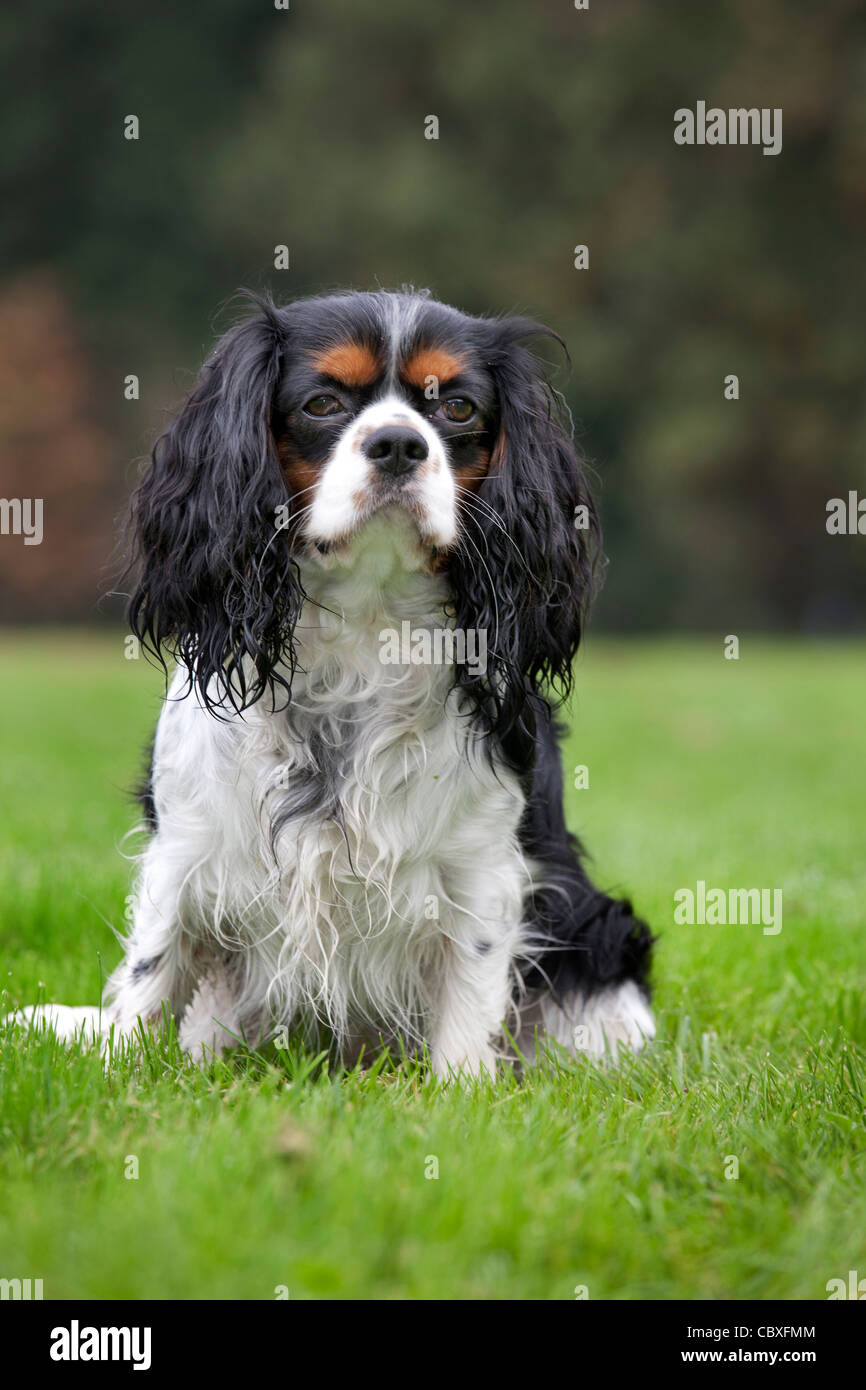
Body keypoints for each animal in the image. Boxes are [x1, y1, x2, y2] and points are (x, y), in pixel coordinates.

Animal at [13, 290, 653, 1073]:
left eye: (458, 408)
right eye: (323, 402)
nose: (399, 445)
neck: (366, 626)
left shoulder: (483, 872)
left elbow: (469, 1004)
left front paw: (462, 1090)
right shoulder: (187, 851)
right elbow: (152, 976)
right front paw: (124, 1071)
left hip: (601, 950)